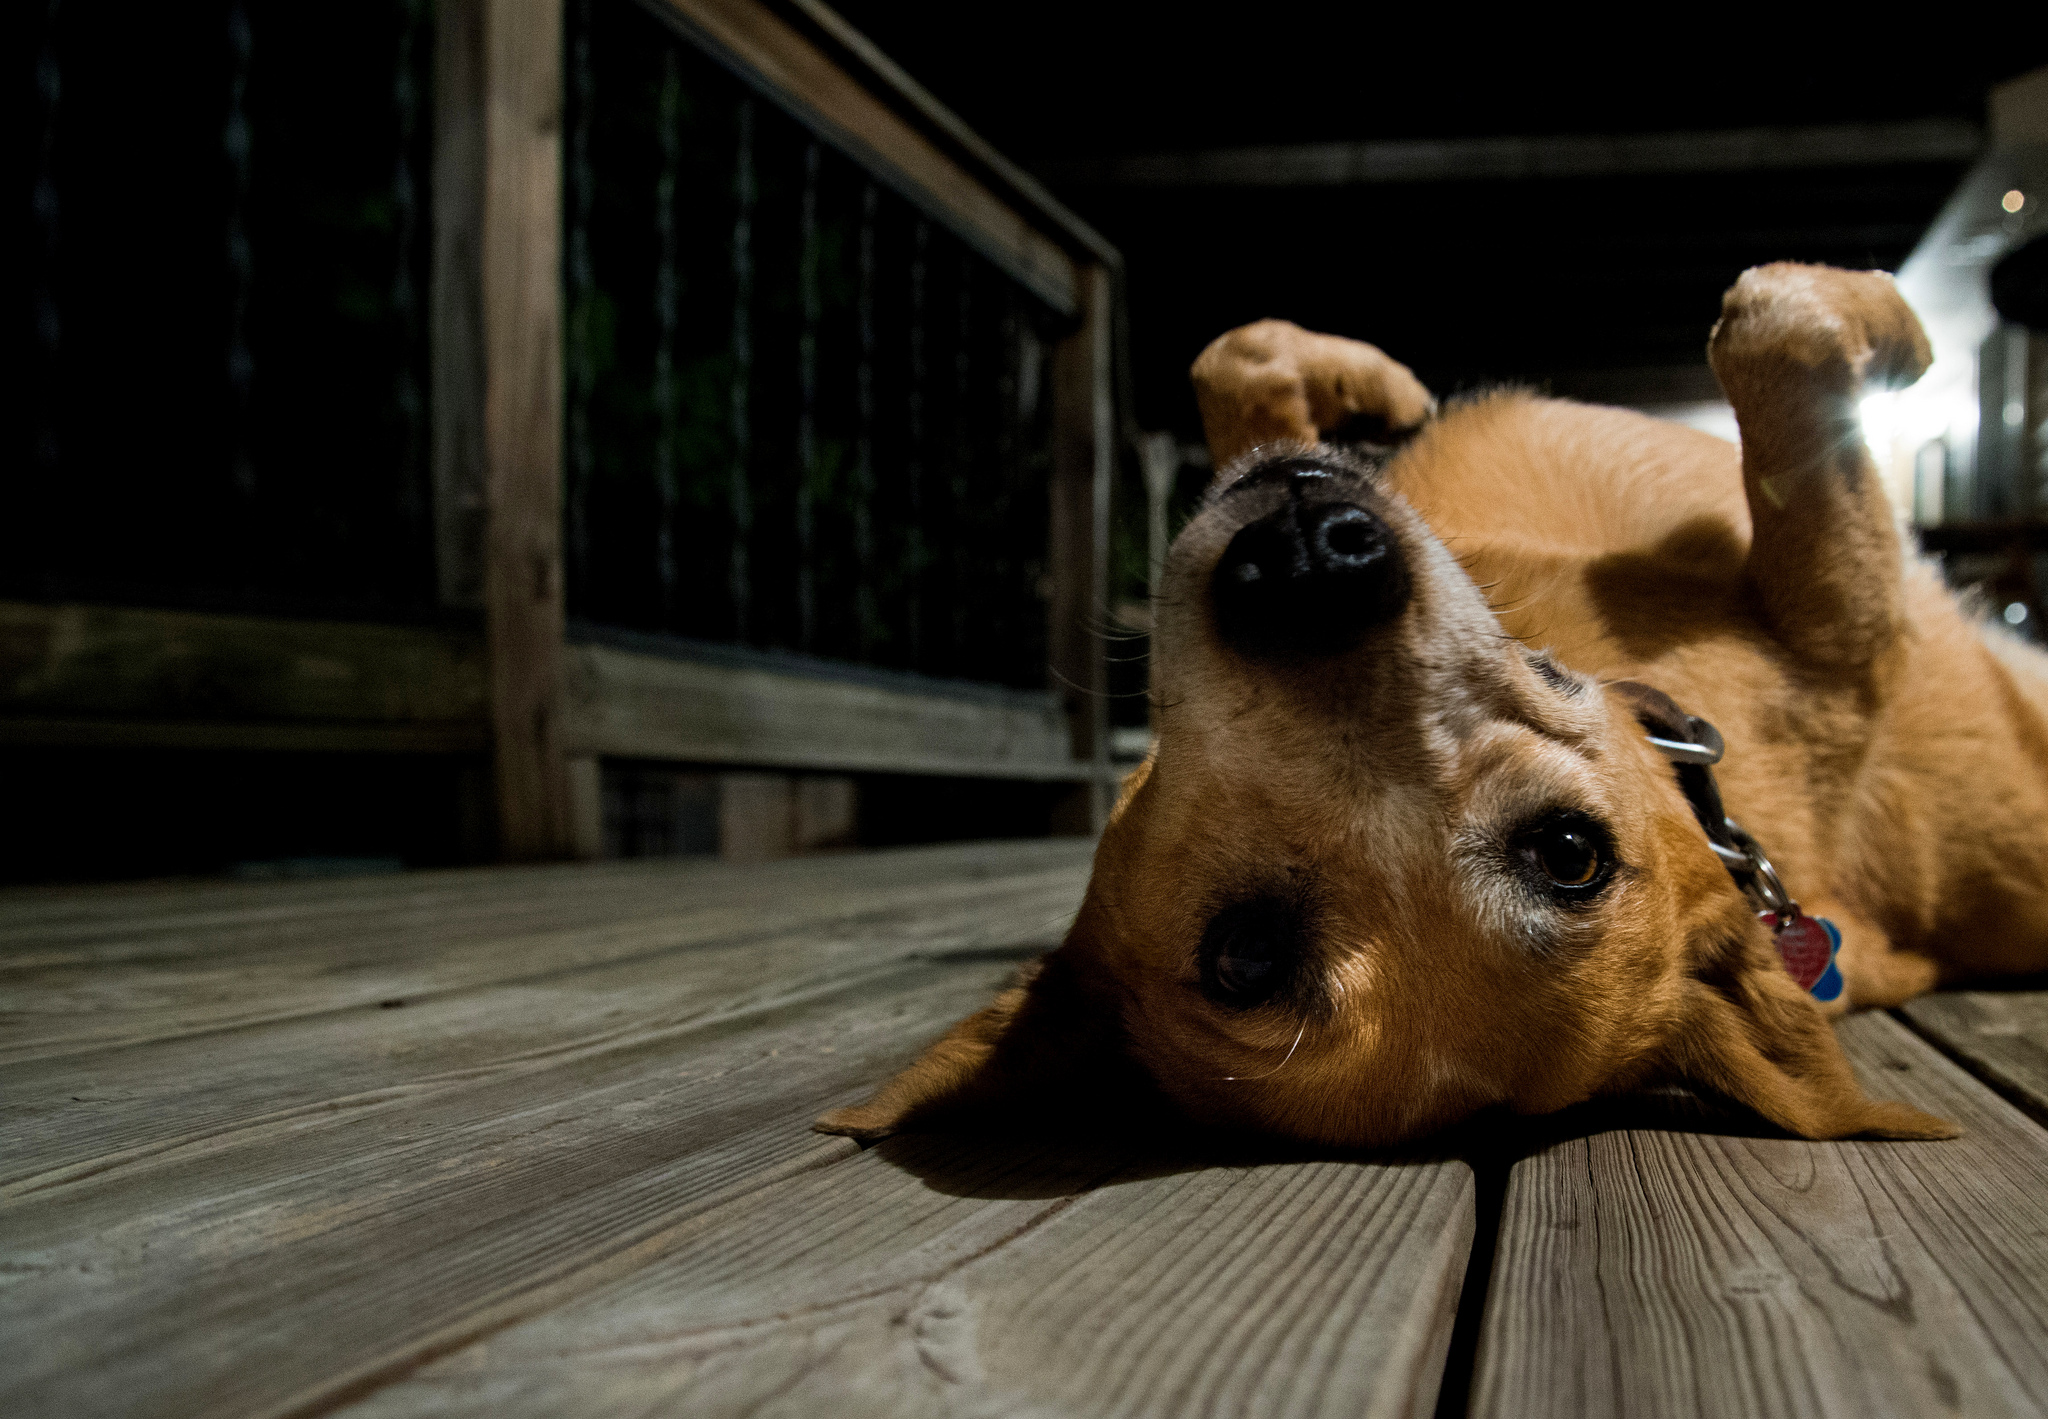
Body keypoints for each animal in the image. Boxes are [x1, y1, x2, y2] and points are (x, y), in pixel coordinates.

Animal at [819, 266, 2048, 1146]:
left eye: (1566, 853)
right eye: (1245, 955)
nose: (1308, 564)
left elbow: (1235, 356)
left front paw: (1371, 389)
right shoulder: (1850, 630)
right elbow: (1775, 330)